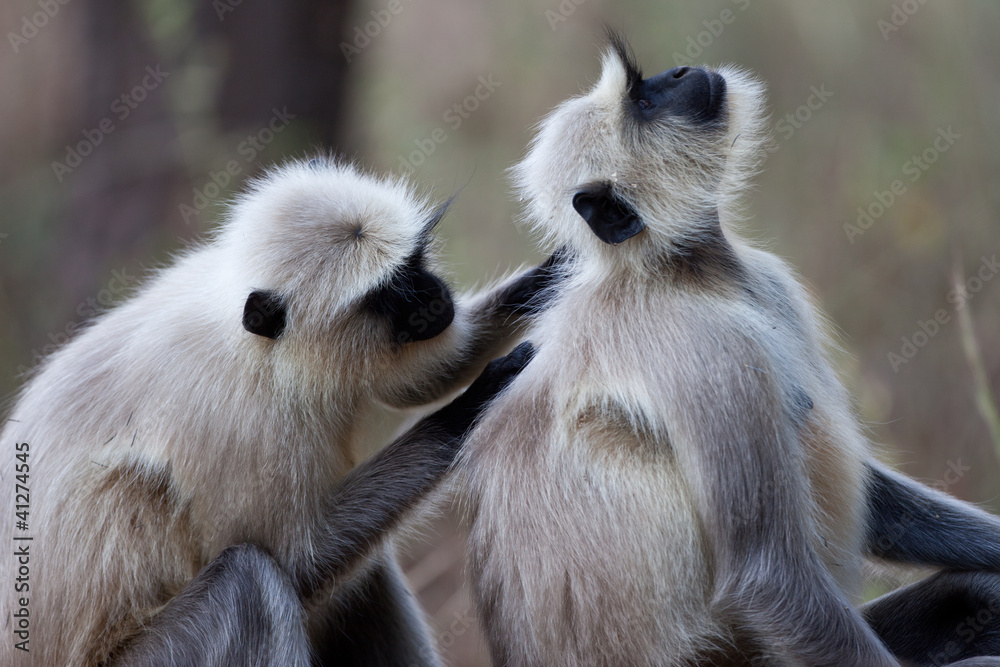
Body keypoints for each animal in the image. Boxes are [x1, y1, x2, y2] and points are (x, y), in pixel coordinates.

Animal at [0, 158, 560, 666]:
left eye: (415, 266)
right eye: (390, 294)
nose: (434, 294)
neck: (258, 347)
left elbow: (421, 379)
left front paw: (558, 270)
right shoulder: (232, 418)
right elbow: (298, 560)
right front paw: (477, 400)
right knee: (251, 581)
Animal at [456, 33, 1000, 666]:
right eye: (644, 101)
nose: (679, 72)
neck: (687, 273)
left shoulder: (769, 283)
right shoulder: (704, 348)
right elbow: (767, 575)